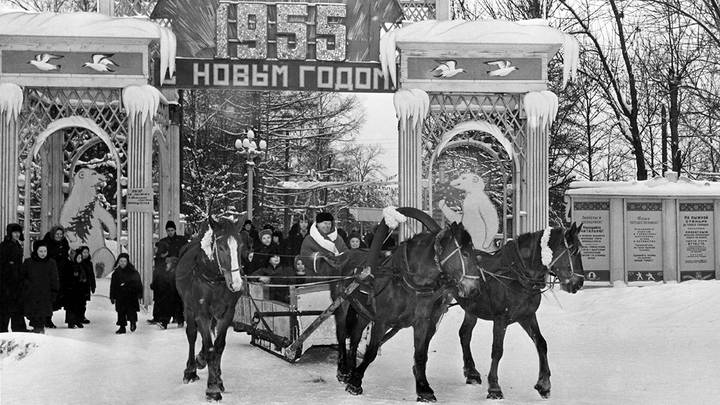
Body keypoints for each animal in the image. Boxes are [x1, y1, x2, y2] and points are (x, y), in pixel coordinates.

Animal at [175, 216, 250, 400]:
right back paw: (191, 370)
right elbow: (209, 347)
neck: (214, 280)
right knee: (192, 334)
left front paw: (217, 380)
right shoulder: (201, 312)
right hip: (189, 307)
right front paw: (212, 388)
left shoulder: (227, 313)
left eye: (240, 246)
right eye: (221, 247)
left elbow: (219, 346)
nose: (236, 284)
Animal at [334, 208, 484, 400]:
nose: (475, 290)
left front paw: (424, 388)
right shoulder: (381, 321)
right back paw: (343, 371)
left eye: (475, 254)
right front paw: (355, 382)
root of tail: (344, 255)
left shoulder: (422, 322)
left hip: (363, 312)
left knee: (354, 337)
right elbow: (371, 351)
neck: (407, 280)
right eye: (464, 254)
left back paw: (351, 367)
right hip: (342, 303)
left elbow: (420, 354)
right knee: (341, 334)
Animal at [456, 223, 584, 400]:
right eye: (573, 251)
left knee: (465, 333)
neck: (516, 275)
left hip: (472, 309)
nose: (579, 282)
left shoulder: (527, 316)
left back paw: (471, 373)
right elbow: (497, 350)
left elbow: (541, 343)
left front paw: (544, 384)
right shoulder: (500, 319)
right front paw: (494, 388)